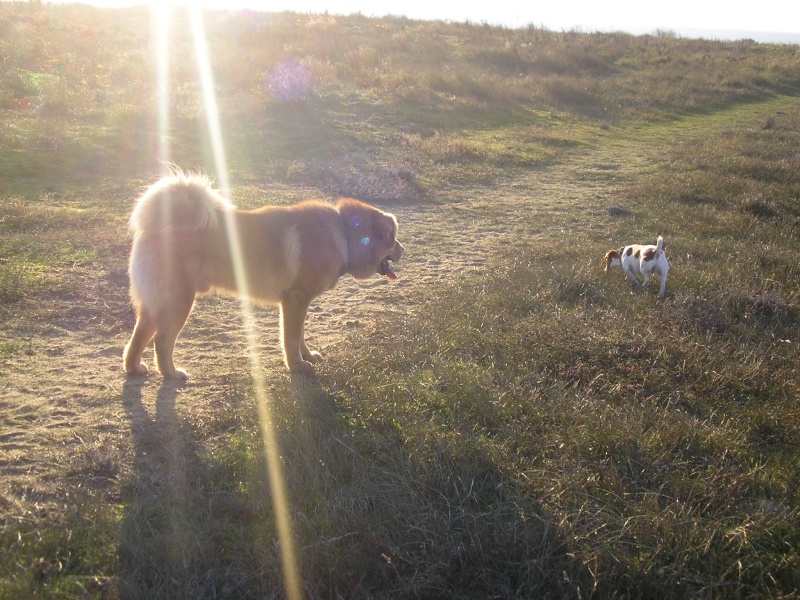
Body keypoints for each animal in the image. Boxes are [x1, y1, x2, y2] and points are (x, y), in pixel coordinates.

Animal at [122, 169, 404, 378]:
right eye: (393, 238)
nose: (404, 249)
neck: (343, 232)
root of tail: (157, 224)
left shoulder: (298, 305)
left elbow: (300, 336)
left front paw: (307, 357)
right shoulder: (295, 301)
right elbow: (291, 339)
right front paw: (297, 366)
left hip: (155, 305)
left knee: (139, 337)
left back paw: (134, 367)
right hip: (179, 302)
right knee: (162, 341)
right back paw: (171, 373)